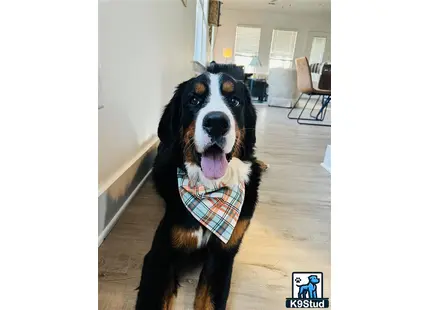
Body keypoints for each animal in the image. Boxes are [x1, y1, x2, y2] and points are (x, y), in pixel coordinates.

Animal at [134, 61, 262, 308]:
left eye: (234, 101)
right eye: (194, 100)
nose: (216, 122)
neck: (210, 193)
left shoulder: (223, 255)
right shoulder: (159, 256)